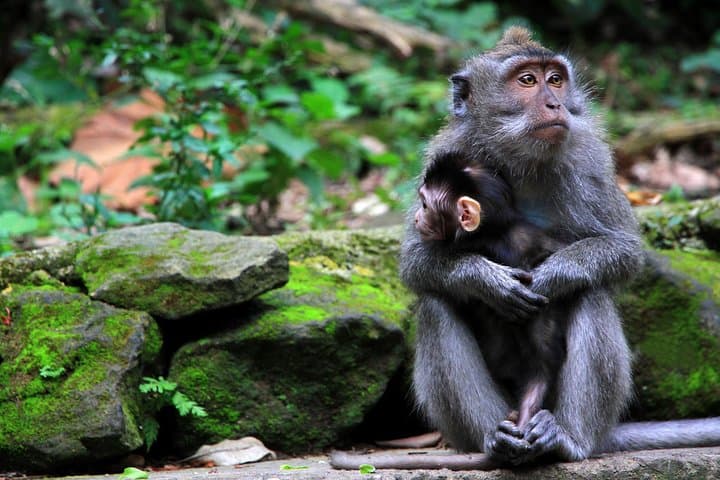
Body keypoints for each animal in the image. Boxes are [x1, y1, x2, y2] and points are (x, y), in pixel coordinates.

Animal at [330, 26, 720, 471]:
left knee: (591, 293)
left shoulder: (589, 159)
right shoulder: (444, 152)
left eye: (555, 80)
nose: (554, 103)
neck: (519, 162)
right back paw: (494, 443)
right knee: (436, 303)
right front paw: (488, 282)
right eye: (527, 81)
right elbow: (417, 263)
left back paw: (566, 439)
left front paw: (554, 275)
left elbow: (623, 251)